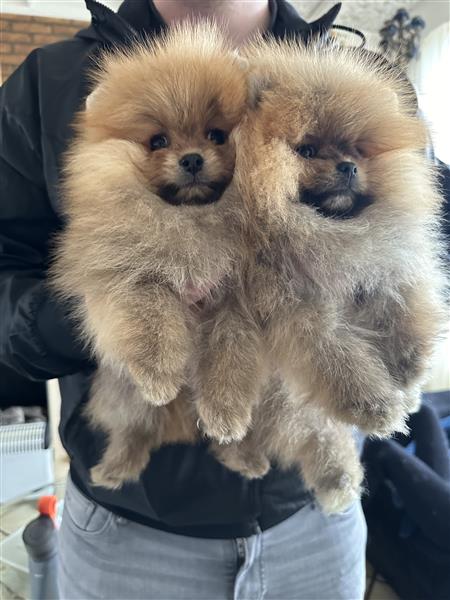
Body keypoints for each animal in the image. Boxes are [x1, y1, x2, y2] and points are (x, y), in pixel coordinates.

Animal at [52, 23, 251, 490]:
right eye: (158, 141)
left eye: (216, 135)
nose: (192, 159)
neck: (190, 220)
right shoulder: (127, 271)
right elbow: (150, 316)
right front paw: (160, 375)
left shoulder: (235, 300)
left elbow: (229, 357)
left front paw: (226, 413)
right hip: (123, 393)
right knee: (135, 428)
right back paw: (116, 467)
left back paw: (243, 458)